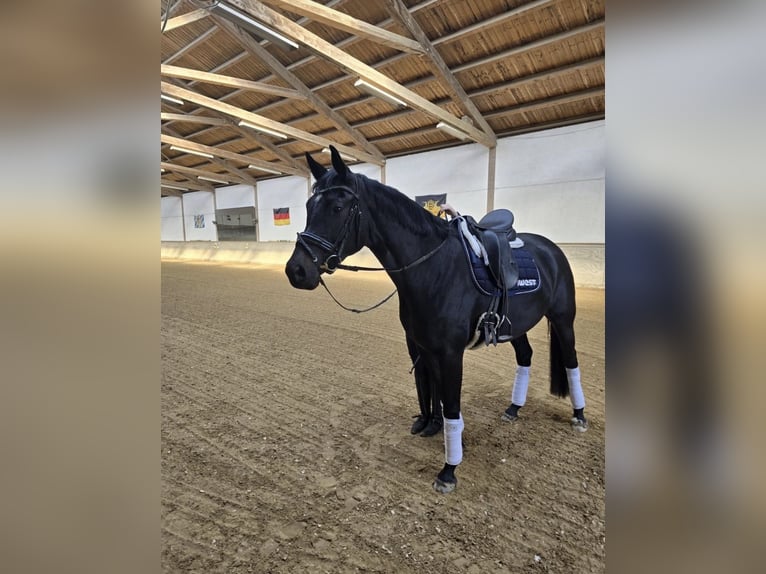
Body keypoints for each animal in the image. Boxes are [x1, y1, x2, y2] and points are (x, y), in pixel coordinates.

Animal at [285, 146, 588, 493]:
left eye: (337, 207)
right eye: (309, 206)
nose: (296, 270)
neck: (434, 268)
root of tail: (552, 249)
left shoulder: (450, 353)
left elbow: (452, 403)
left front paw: (449, 470)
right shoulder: (423, 346)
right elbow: (432, 389)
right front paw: (435, 429)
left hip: (563, 320)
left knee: (571, 363)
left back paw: (580, 416)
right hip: (516, 327)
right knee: (525, 357)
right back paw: (513, 409)